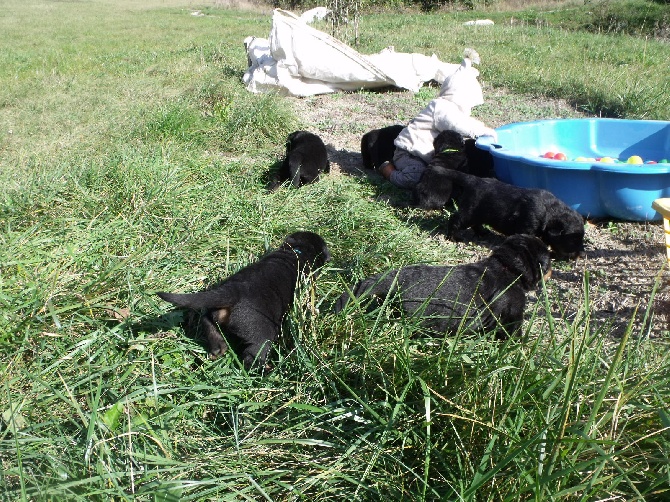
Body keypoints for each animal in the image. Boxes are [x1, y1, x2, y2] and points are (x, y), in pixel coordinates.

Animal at [161, 231, 334, 368]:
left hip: (215, 311)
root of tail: (234, 291)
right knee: (253, 355)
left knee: (207, 321)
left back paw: (218, 349)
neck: (297, 253)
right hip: (261, 333)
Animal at [336, 234, 552, 338]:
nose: (550, 270)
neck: (506, 267)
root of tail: (392, 279)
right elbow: (513, 332)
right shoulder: (513, 311)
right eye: (548, 263)